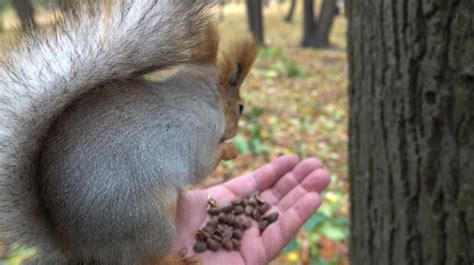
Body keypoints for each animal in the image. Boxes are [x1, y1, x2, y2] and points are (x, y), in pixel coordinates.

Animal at [0, 1, 258, 262]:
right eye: (241, 107)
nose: (234, 132)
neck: (199, 95)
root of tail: (79, 249)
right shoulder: (200, 133)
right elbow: (202, 167)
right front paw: (231, 151)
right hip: (150, 221)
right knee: (150, 259)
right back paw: (176, 260)